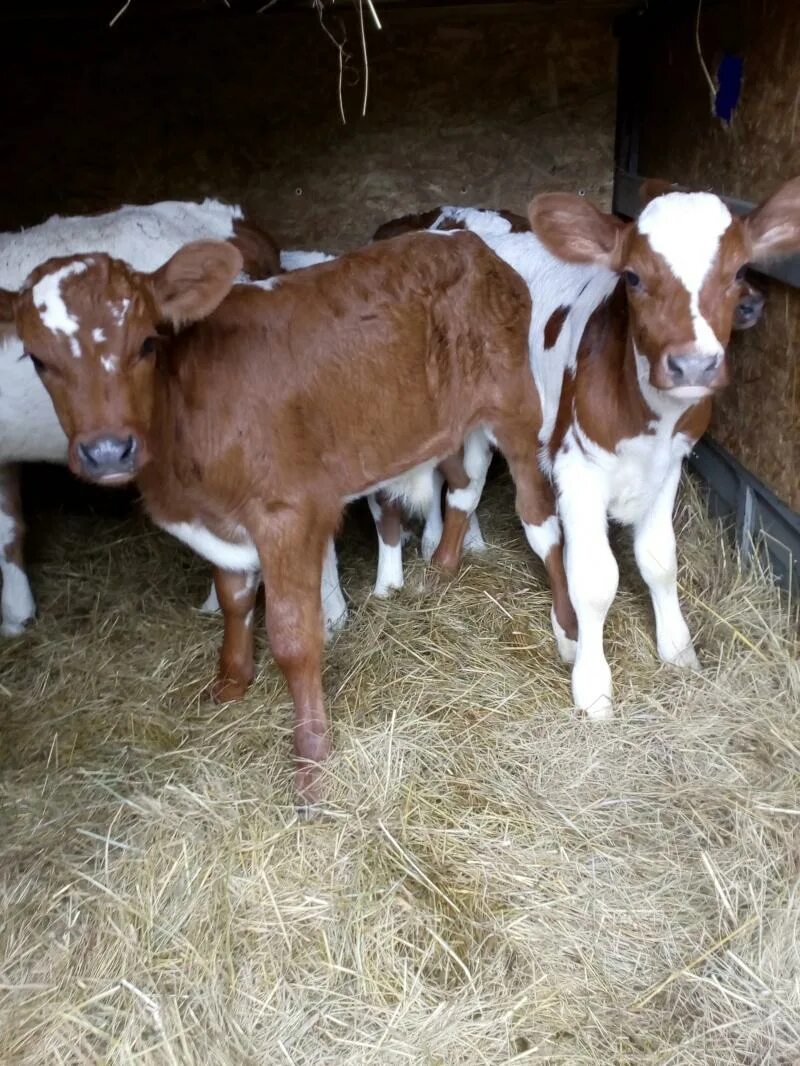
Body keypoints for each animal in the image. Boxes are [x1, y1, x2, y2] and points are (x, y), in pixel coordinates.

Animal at [377, 183, 800, 720]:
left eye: (741, 270)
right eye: (633, 276)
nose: (693, 365)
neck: (649, 420)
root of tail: (446, 222)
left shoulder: (670, 464)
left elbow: (659, 558)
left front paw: (677, 648)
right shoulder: (577, 469)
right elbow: (596, 580)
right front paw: (593, 686)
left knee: (479, 494)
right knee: (509, 508)